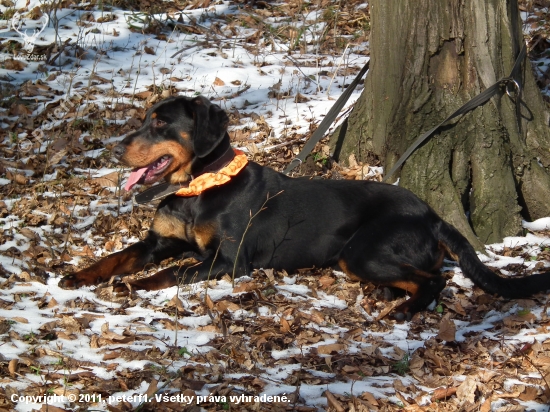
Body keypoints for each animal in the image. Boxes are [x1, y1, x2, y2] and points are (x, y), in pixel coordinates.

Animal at [57, 96, 550, 318]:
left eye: (161, 123)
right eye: (144, 119)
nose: (115, 148)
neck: (196, 190)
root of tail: (433, 215)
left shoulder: (228, 261)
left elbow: (170, 273)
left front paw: (132, 287)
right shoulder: (159, 242)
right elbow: (117, 257)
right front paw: (77, 276)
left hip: (362, 250)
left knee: (434, 281)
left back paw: (404, 310)